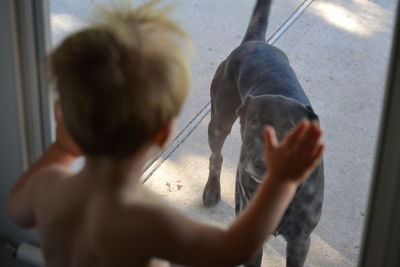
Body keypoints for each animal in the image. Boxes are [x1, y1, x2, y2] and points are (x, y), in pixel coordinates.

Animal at [203, 1, 324, 266]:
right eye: (254, 125)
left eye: (291, 131)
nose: (264, 162)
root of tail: (254, 43)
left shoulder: (300, 242)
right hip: (219, 121)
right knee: (216, 156)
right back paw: (211, 190)